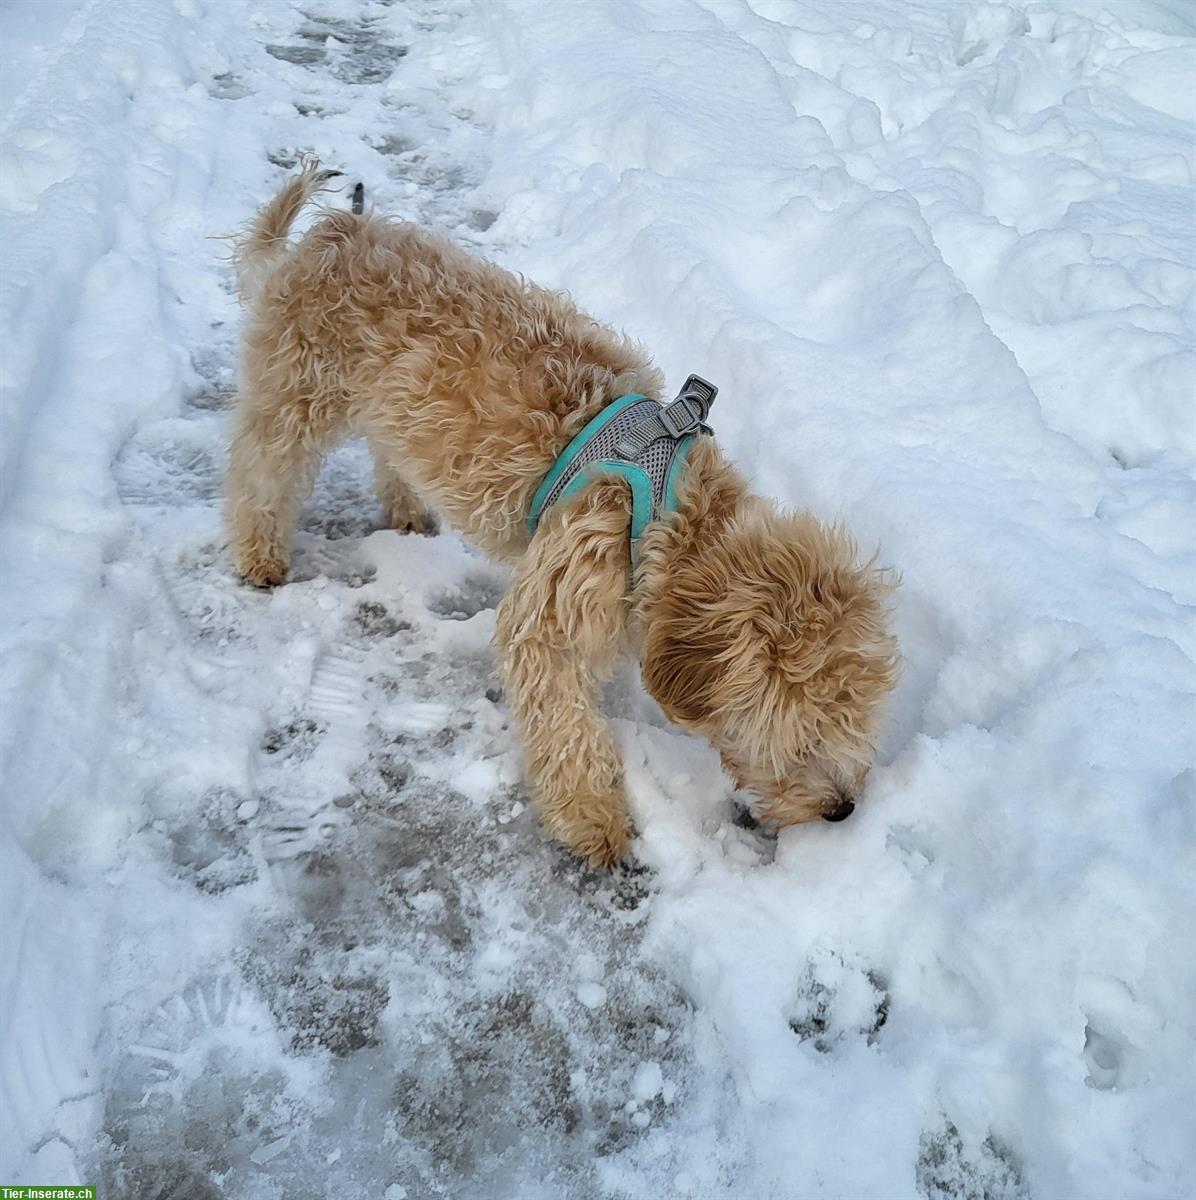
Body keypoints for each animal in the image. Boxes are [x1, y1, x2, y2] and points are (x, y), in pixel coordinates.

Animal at [224, 164, 897, 868]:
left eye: (857, 711)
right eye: (802, 725)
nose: (843, 809)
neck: (669, 513)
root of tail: (334, 228)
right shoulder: (561, 596)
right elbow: (564, 723)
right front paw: (593, 819)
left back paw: (405, 507)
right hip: (296, 389)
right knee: (259, 468)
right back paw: (258, 552)